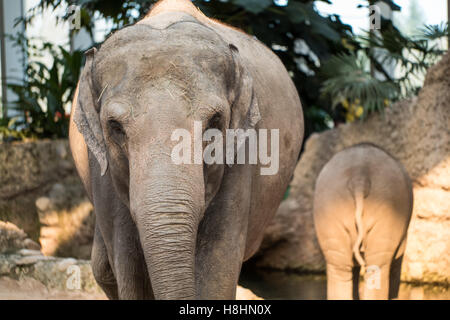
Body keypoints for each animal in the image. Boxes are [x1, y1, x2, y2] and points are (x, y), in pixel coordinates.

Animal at [68, 0, 304, 300]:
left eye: (215, 121)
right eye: (114, 126)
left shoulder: (240, 156)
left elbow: (218, 263)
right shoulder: (101, 167)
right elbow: (128, 264)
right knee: (103, 269)